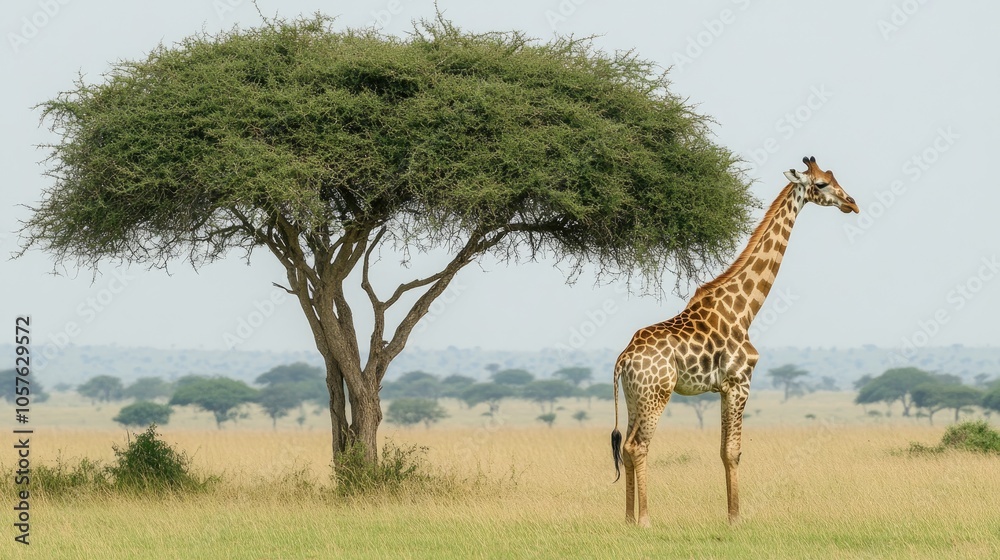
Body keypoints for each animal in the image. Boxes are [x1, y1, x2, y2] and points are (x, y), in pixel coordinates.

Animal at [610, 156, 858, 527]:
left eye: (833, 177)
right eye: (822, 184)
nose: (852, 204)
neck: (744, 310)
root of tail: (624, 359)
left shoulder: (723, 388)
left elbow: (723, 450)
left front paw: (731, 515)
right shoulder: (741, 381)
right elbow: (733, 451)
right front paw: (736, 518)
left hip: (633, 396)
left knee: (626, 447)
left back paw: (627, 520)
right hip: (656, 394)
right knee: (638, 446)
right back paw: (645, 520)